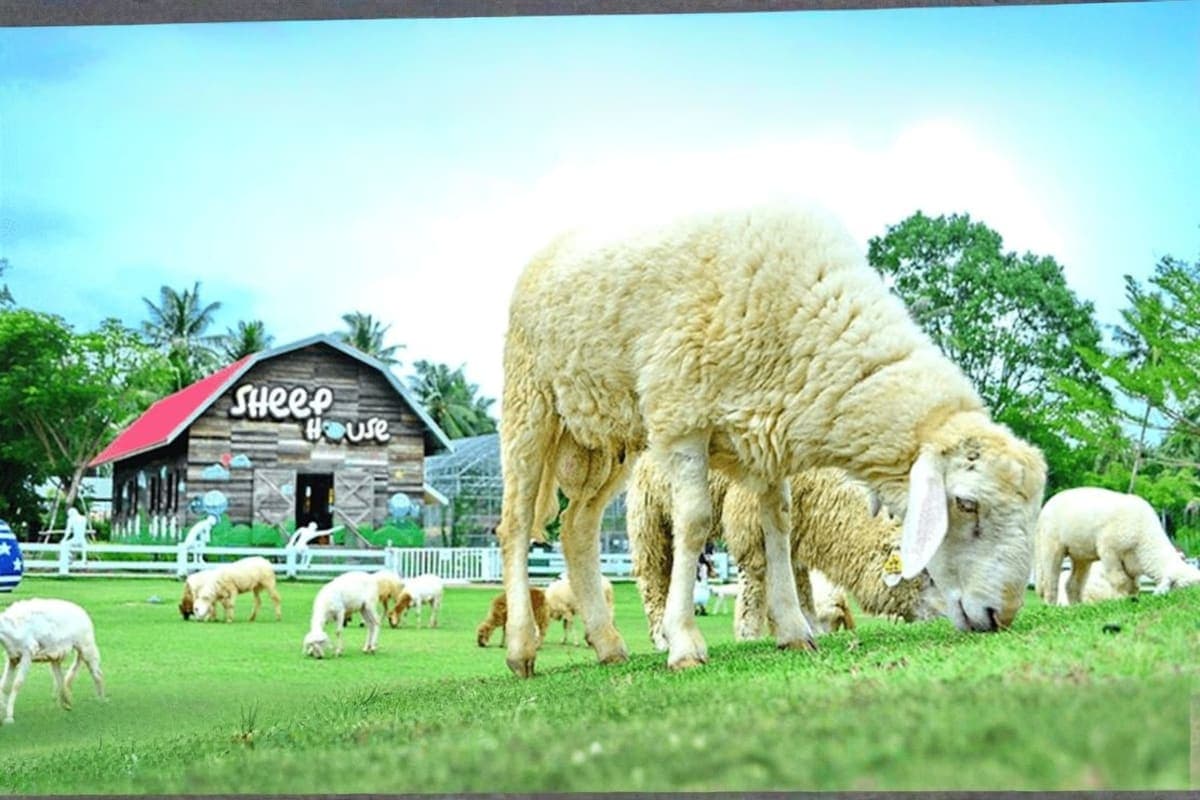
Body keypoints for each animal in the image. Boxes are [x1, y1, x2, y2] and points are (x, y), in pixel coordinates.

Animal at [629, 460, 943, 649]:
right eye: (926, 575)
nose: (941, 619)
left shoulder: (794, 529)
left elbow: (799, 585)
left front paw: (808, 627)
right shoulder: (748, 519)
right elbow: (754, 585)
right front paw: (748, 637)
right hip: (648, 512)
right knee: (650, 576)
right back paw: (661, 639)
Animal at [1035, 486, 1200, 605]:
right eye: (1184, 588)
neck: (1144, 536)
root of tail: (1045, 507)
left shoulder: (1133, 561)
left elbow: (1134, 585)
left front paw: (1132, 599)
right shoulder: (1109, 550)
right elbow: (1120, 580)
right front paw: (1119, 600)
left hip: (1080, 554)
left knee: (1072, 583)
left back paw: (1077, 606)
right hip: (1051, 543)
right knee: (1050, 580)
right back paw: (1051, 606)